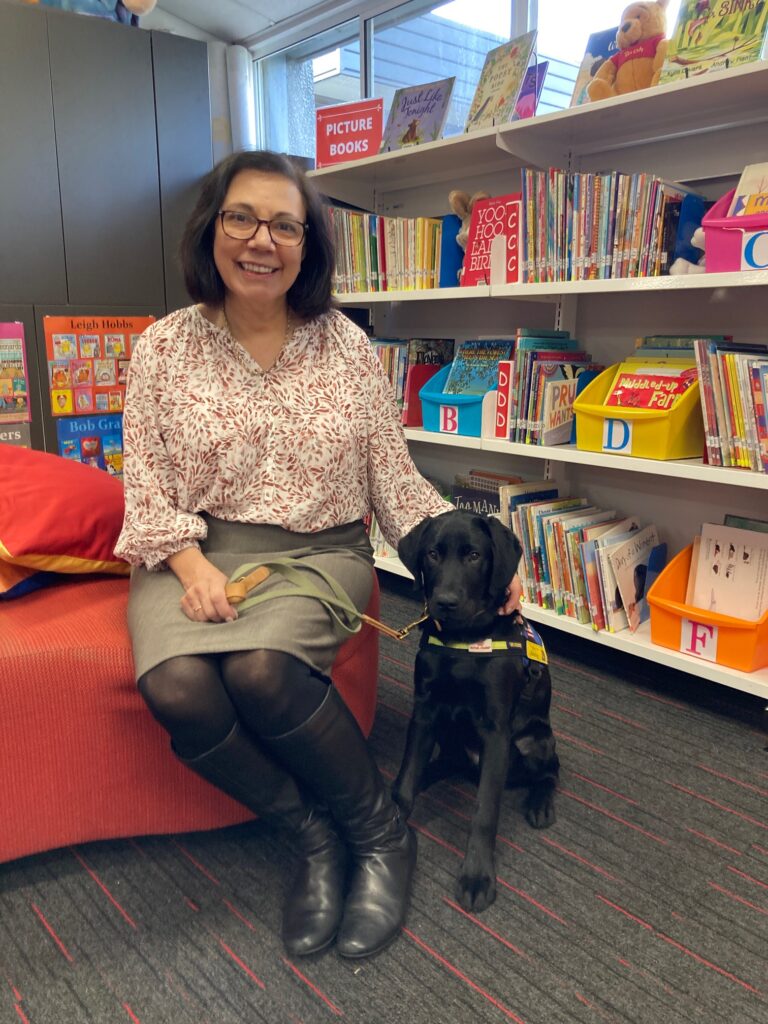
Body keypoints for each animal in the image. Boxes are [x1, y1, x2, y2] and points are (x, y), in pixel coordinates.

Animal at [397, 512, 561, 913]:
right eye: (433, 554)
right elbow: (407, 779)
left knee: (550, 772)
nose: (445, 602)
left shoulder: (497, 731)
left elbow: (484, 811)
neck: (463, 640)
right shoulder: (425, 711)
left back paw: (539, 803)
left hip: (537, 741)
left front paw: (476, 877)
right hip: (447, 730)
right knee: (448, 761)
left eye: (474, 555)